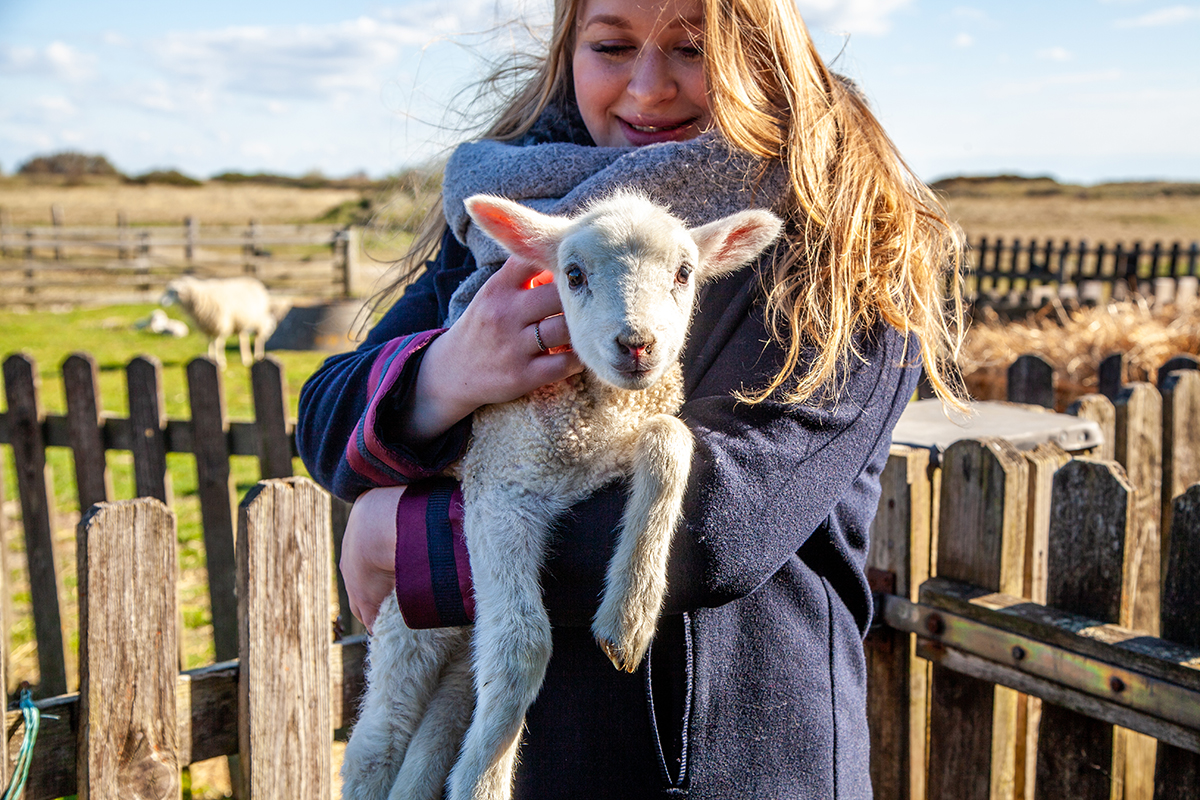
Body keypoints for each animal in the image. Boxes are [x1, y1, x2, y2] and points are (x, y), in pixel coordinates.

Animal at [343, 191, 782, 800]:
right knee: (377, 743)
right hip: (406, 629)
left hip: (456, 641)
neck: (594, 427)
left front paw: (630, 614)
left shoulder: (626, 438)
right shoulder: (498, 489)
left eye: (684, 273)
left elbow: (670, 439)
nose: (637, 345)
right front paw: (485, 786)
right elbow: (523, 647)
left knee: (438, 730)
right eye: (572, 275)